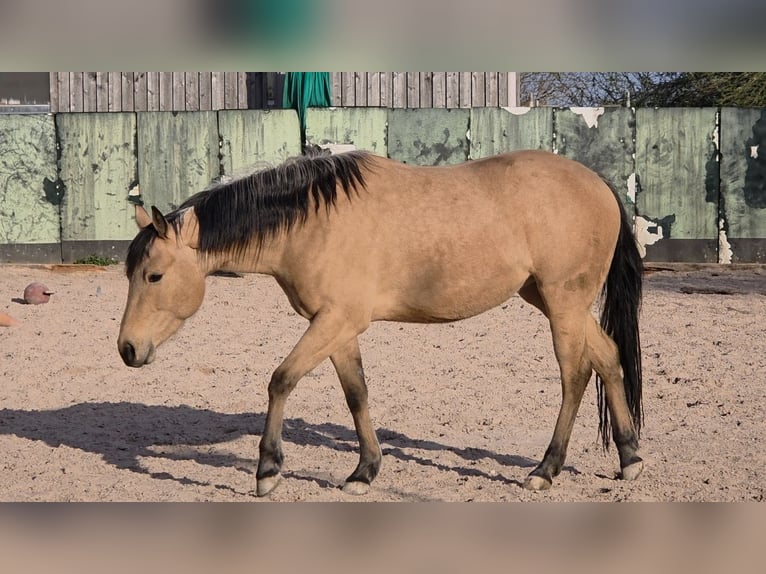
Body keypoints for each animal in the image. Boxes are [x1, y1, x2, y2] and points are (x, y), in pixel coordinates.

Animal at [118, 149, 644, 497]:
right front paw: (364, 471)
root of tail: (599, 184)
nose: (127, 349)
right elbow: (357, 395)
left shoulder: (335, 320)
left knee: (574, 376)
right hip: (554, 301)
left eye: (154, 275)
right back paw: (630, 457)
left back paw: (546, 469)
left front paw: (268, 470)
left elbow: (280, 380)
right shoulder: (337, 326)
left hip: (562, 304)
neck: (314, 220)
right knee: (609, 358)